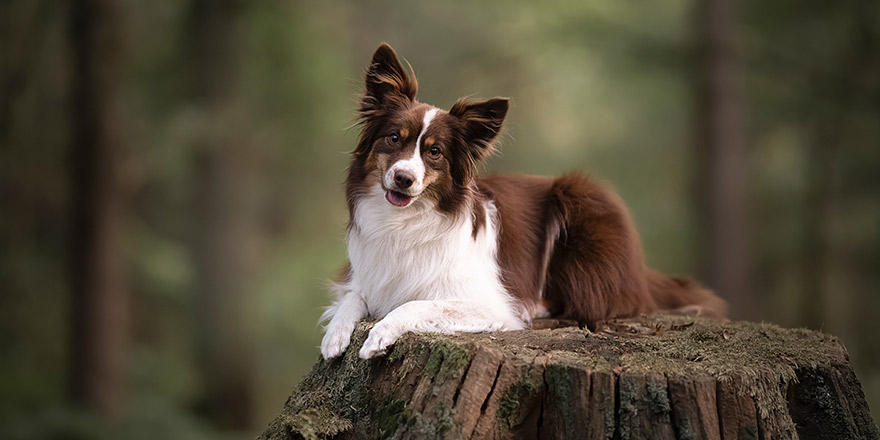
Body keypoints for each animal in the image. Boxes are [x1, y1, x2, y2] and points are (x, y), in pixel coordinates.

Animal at [320, 43, 724, 360]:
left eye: (434, 152)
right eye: (393, 138)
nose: (403, 178)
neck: (405, 221)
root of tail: (640, 270)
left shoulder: (488, 302)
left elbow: (414, 303)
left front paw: (379, 333)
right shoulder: (364, 276)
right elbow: (352, 298)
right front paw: (335, 335)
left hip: (580, 201)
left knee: (597, 303)